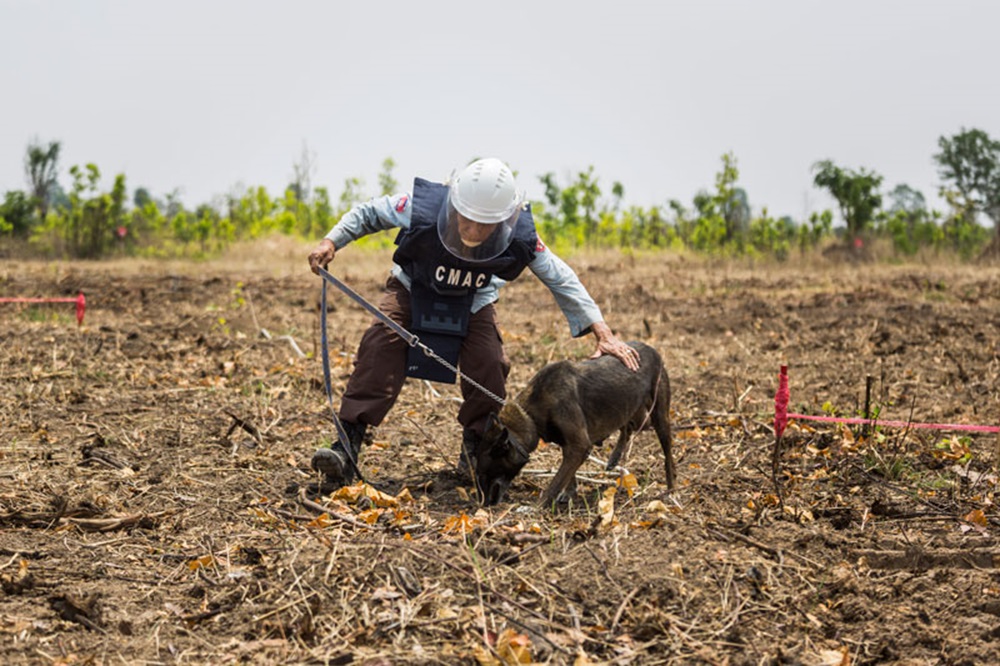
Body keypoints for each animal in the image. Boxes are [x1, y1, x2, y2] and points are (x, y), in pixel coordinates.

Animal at [474, 340, 676, 506]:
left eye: (483, 474)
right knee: (629, 425)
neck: (530, 414)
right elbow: (568, 476)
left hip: (659, 416)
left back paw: (671, 487)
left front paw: (536, 507)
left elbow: (556, 482)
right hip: (631, 408)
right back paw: (615, 456)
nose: (484, 505)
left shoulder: (579, 445)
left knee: (666, 451)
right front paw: (569, 493)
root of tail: (651, 348)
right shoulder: (569, 445)